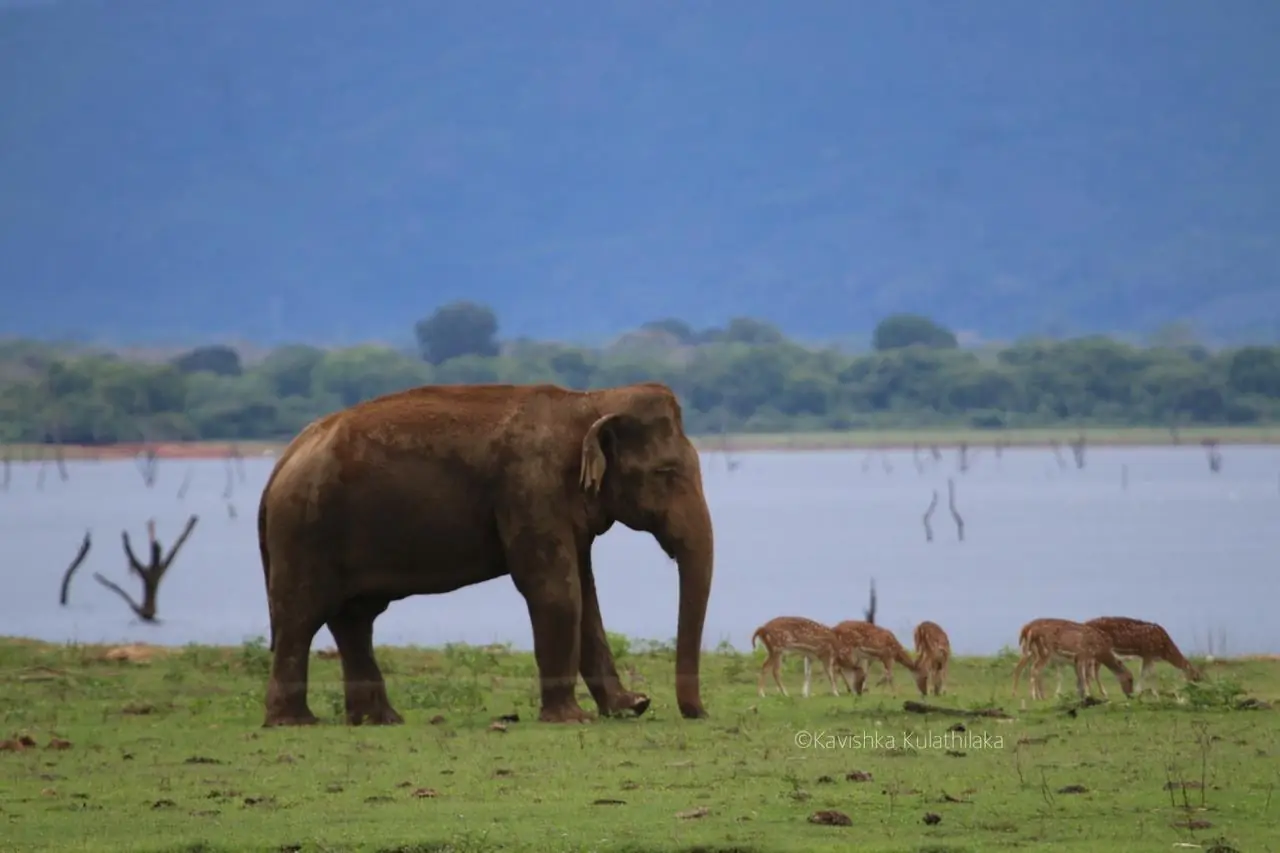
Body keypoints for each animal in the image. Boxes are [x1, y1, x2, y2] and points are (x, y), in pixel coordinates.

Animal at [257, 380, 714, 726]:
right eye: (666, 473)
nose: (699, 712)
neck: (587, 402)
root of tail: (280, 463)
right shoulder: (530, 488)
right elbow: (556, 590)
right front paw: (572, 718)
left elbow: (584, 594)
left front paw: (627, 707)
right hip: (303, 532)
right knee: (301, 617)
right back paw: (297, 722)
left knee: (354, 619)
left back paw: (381, 720)